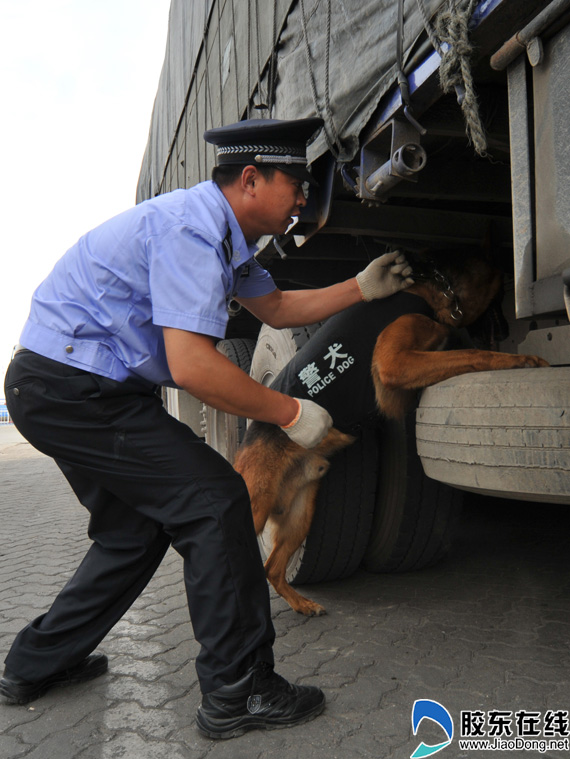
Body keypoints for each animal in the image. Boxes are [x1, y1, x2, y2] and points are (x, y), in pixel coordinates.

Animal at [233, 252, 548, 616]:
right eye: (499, 298)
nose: (509, 328)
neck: (440, 287)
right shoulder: (394, 363)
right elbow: (471, 354)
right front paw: (519, 359)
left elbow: (458, 355)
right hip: (255, 508)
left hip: (300, 515)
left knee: (272, 567)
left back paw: (301, 604)